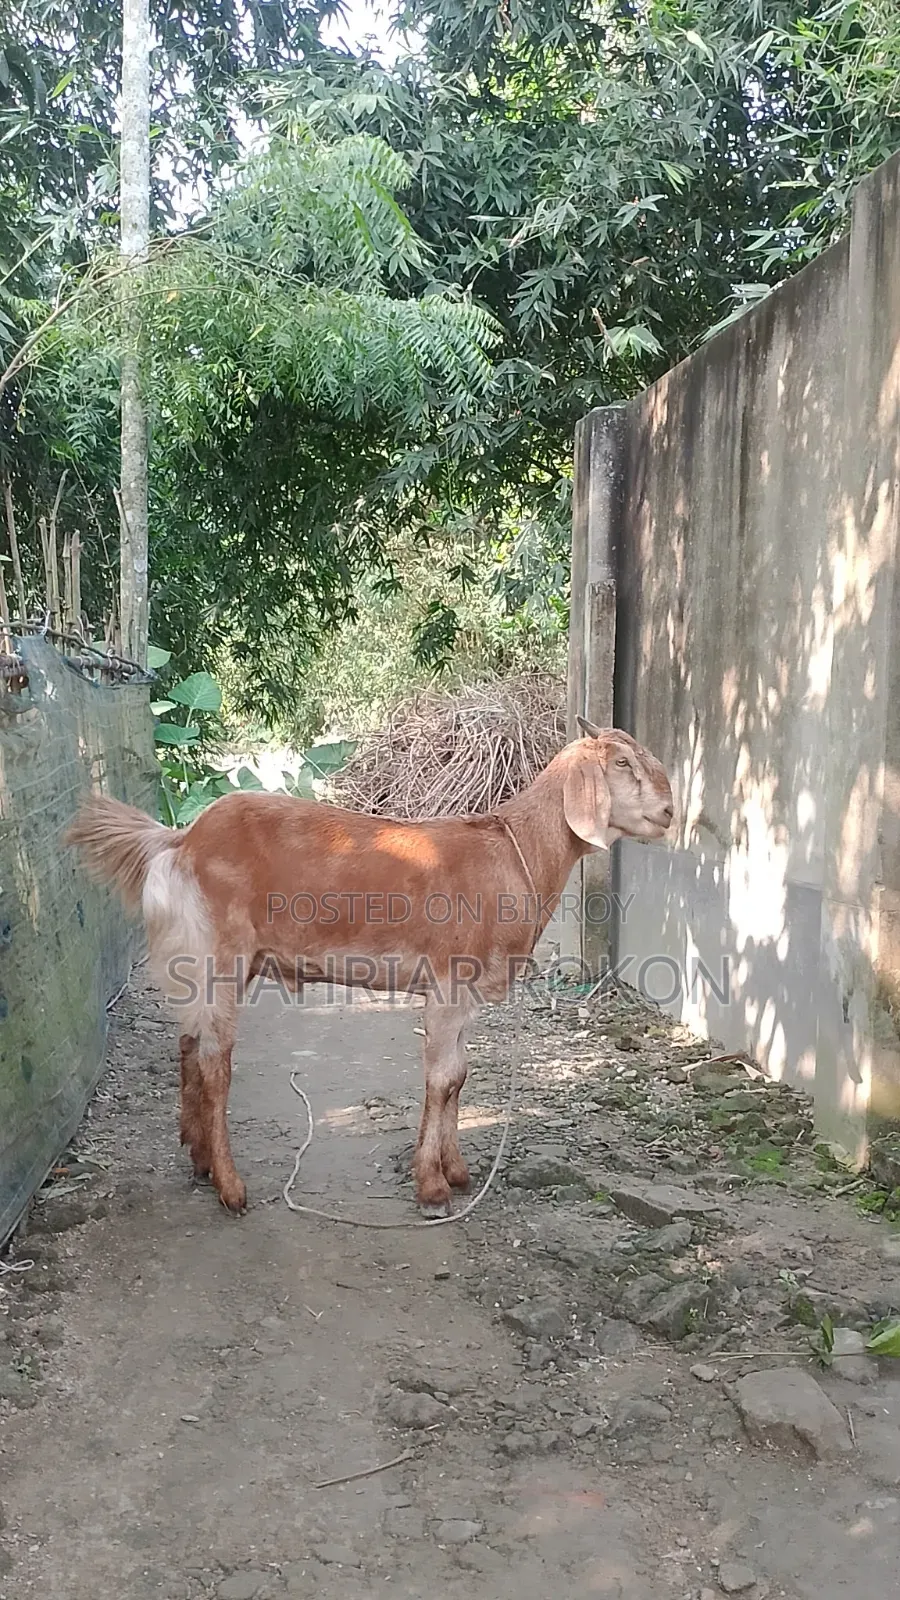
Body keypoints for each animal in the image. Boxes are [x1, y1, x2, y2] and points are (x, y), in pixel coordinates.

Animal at [64, 718, 673, 1217]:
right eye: (622, 763)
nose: (669, 813)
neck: (515, 852)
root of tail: (181, 841)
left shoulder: (468, 991)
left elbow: (460, 1076)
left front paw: (456, 1170)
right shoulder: (449, 984)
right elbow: (443, 1077)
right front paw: (431, 1186)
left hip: (212, 963)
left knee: (190, 1044)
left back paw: (199, 1159)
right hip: (220, 956)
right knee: (216, 1063)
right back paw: (231, 1187)